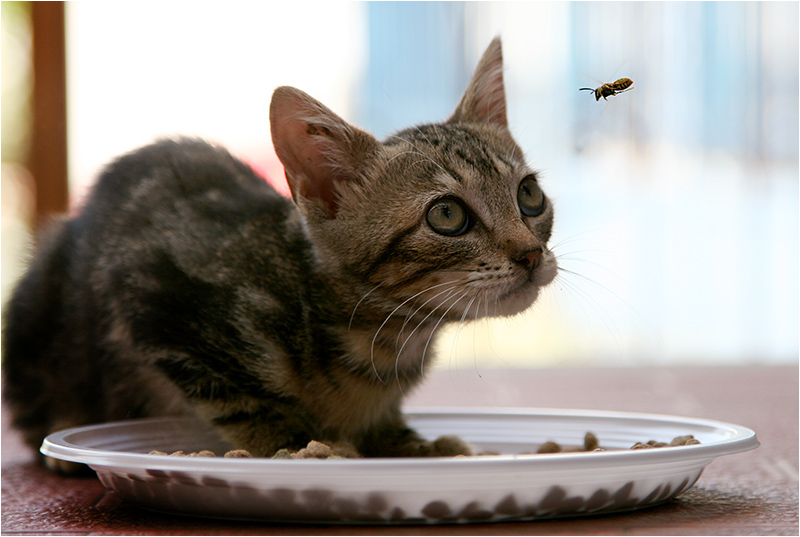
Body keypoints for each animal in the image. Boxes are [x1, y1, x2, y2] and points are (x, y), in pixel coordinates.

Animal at [2, 38, 557, 463]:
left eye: (529, 195)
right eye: (446, 216)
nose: (531, 253)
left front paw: (410, 443)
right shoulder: (150, 291)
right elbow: (247, 405)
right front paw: (301, 447)